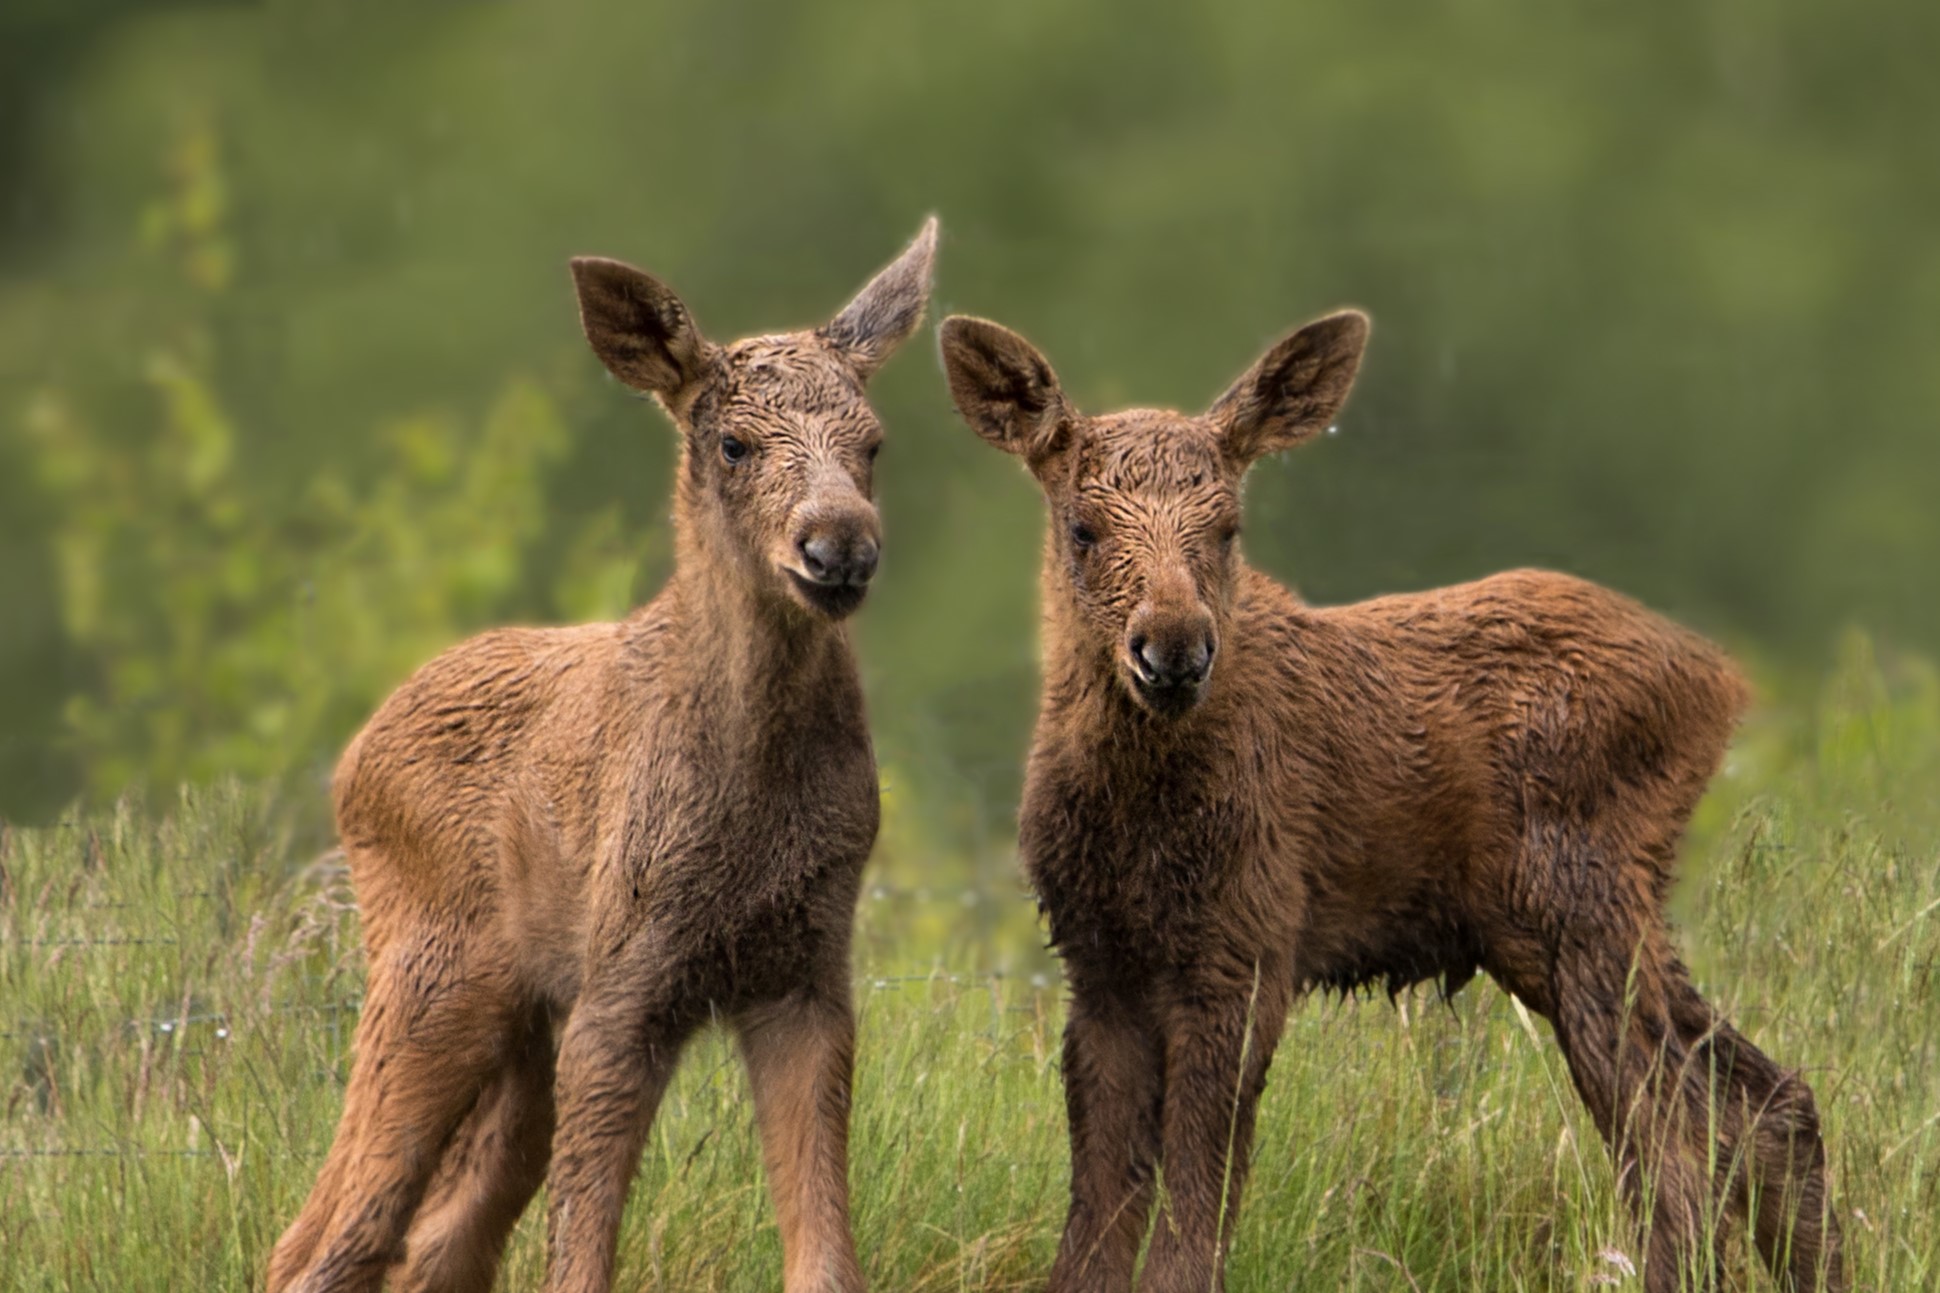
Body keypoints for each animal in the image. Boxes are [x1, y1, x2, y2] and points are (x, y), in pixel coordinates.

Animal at [265, 217, 938, 1293]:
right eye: (733, 441)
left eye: (872, 442)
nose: (839, 547)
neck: (753, 800)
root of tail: (351, 760)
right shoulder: (624, 984)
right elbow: (581, 1252)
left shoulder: (806, 972)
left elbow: (825, 1253)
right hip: (432, 975)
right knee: (327, 1241)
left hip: (514, 1029)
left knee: (425, 1246)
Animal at [938, 307, 1842, 1293]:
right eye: (1083, 527)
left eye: (1228, 527)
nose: (1172, 649)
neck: (1133, 815)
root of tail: (1721, 680)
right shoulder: (1097, 963)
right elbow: (1098, 1208)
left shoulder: (1246, 950)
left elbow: (1194, 1208)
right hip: (1581, 928)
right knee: (1761, 1104)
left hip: (1581, 913)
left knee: (1677, 1150)